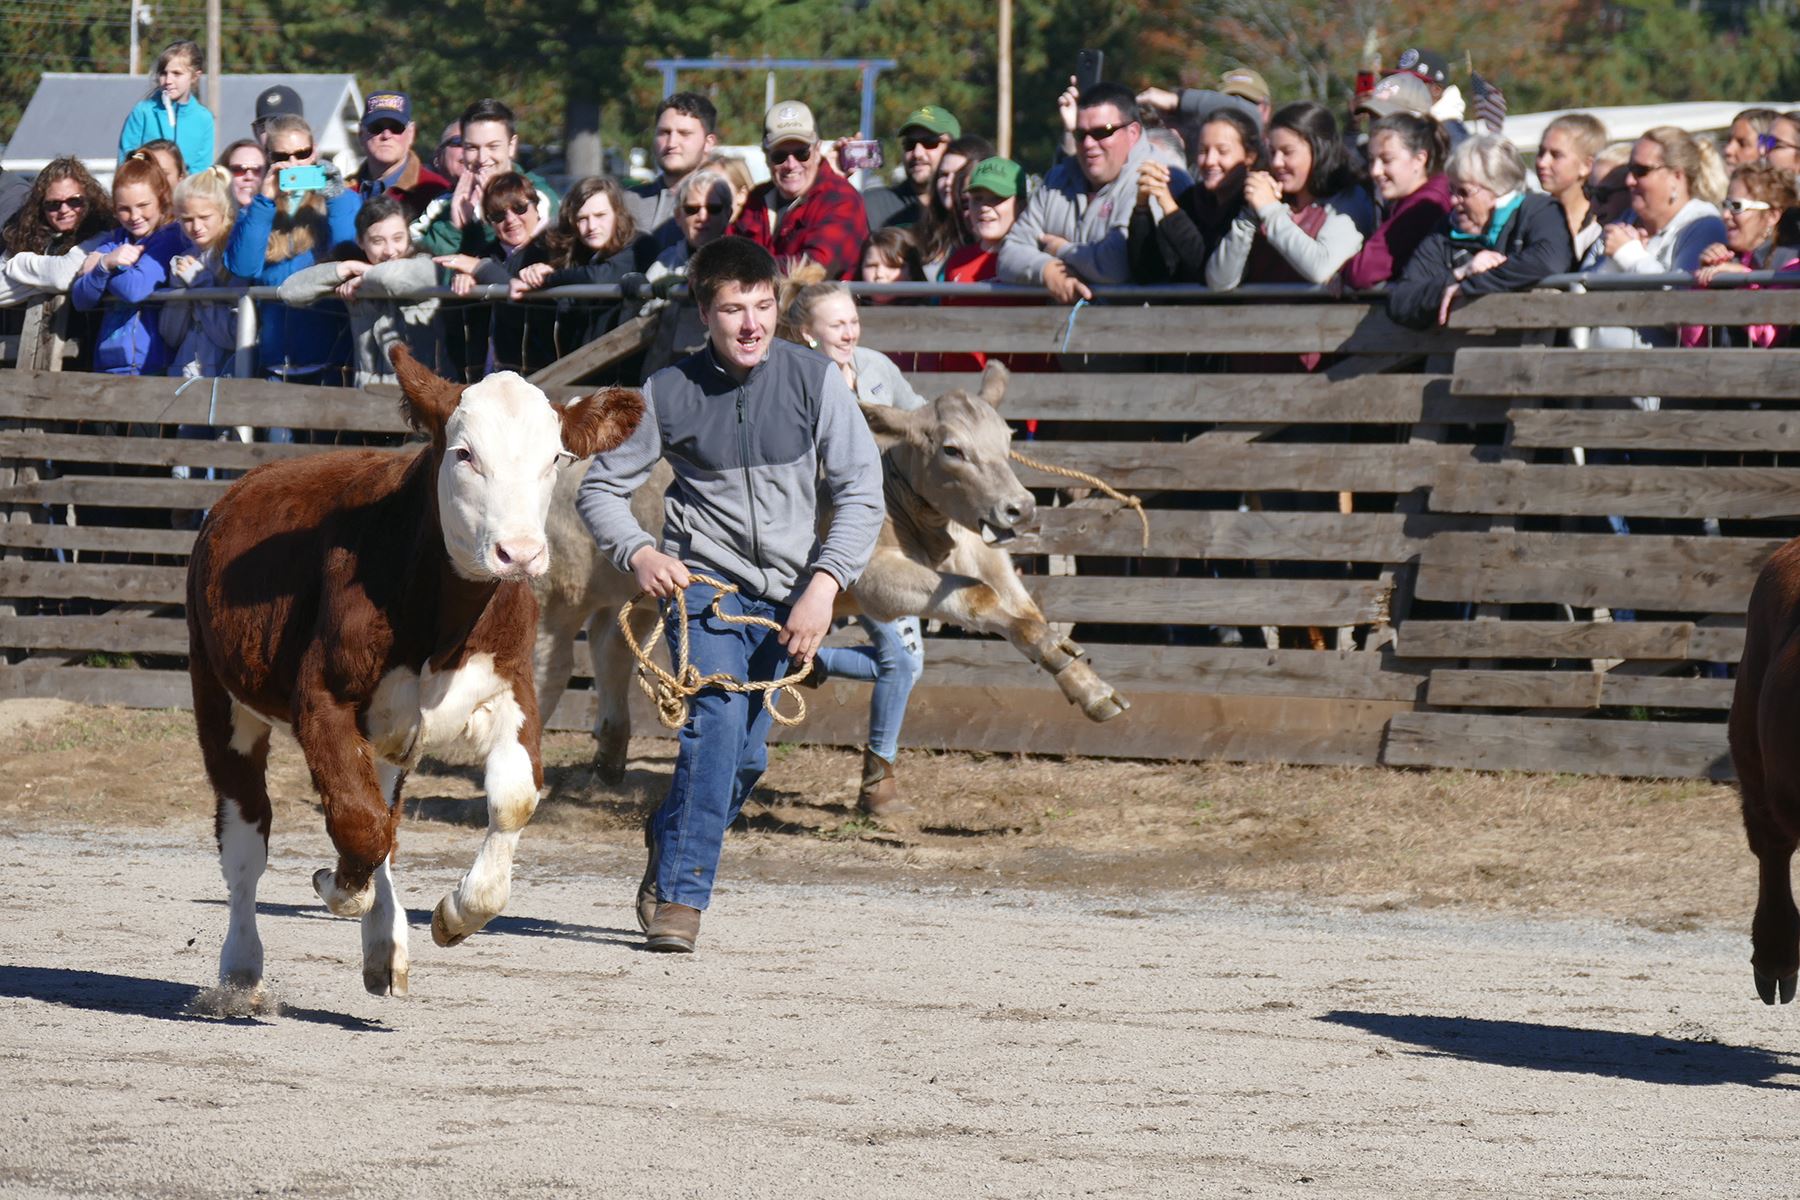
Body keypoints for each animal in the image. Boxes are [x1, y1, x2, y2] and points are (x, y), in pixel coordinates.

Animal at [185, 345, 642, 1003]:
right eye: (465, 453)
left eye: (555, 457)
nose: (520, 554)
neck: (440, 624)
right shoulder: (321, 701)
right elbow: (357, 822)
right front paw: (337, 887)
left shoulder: (511, 689)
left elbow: (510, 801)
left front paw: (456, 913)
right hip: (220, 696)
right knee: (247, 836)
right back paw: (241, 970)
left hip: (387, 735)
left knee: (383, 816)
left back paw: (385, 946)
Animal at [534, 361, 1128, 786]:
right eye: (953, 449)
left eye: (1007, 440)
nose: (1019, 508)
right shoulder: (876, 580)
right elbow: (980, 598)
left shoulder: (973, 552)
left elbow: (1022, 610)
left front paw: (1084, 681)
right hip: (557, 594)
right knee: (552, 665)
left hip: (632, 585)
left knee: (611, 645)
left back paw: (610, 755)